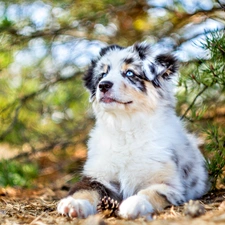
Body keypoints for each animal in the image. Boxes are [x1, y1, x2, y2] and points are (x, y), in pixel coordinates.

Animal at [57, 42, 208, 220]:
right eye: (103, 74)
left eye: (129, 73)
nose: (103, 85)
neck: (126, 129)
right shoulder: (97, 175)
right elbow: (84, 190)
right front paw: (74, 204)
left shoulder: (169, 184)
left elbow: (150, 193)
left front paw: (134, 204)